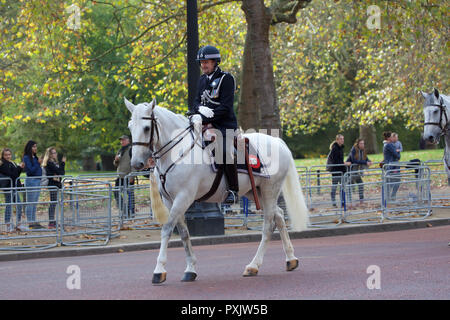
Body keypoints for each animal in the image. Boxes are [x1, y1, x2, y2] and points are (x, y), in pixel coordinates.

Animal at [125, 98, 312, 284]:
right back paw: (291, 259)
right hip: (255, 191)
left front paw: (159, 270)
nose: (136, 163)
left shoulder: (183, 197)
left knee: (268, 225)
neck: (177, 152)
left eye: (146, 128)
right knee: (278, 215)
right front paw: (190, 269)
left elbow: (167, 229)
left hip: (269, 190)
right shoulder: (170, 200)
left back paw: (253, 266)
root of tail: (277, 142)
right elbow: (184, 233)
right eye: (130, 126)